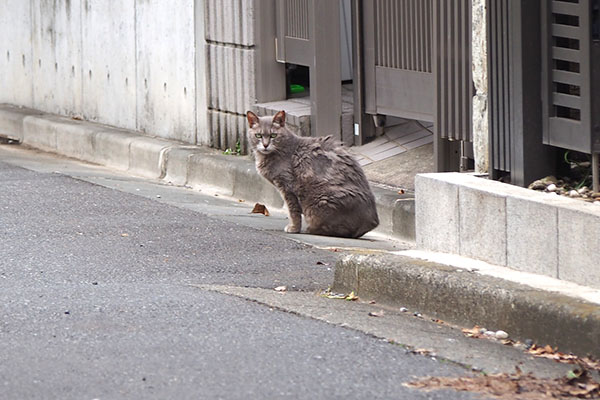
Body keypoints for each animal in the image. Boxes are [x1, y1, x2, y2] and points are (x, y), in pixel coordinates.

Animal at [245, 109, 378, 239]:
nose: (265, 145)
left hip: (318, 200)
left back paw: (311, 229)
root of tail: (372, 222)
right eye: (258, 135)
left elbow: (292, 210)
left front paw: (293, 228)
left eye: (273, 135)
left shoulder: (288, 187)